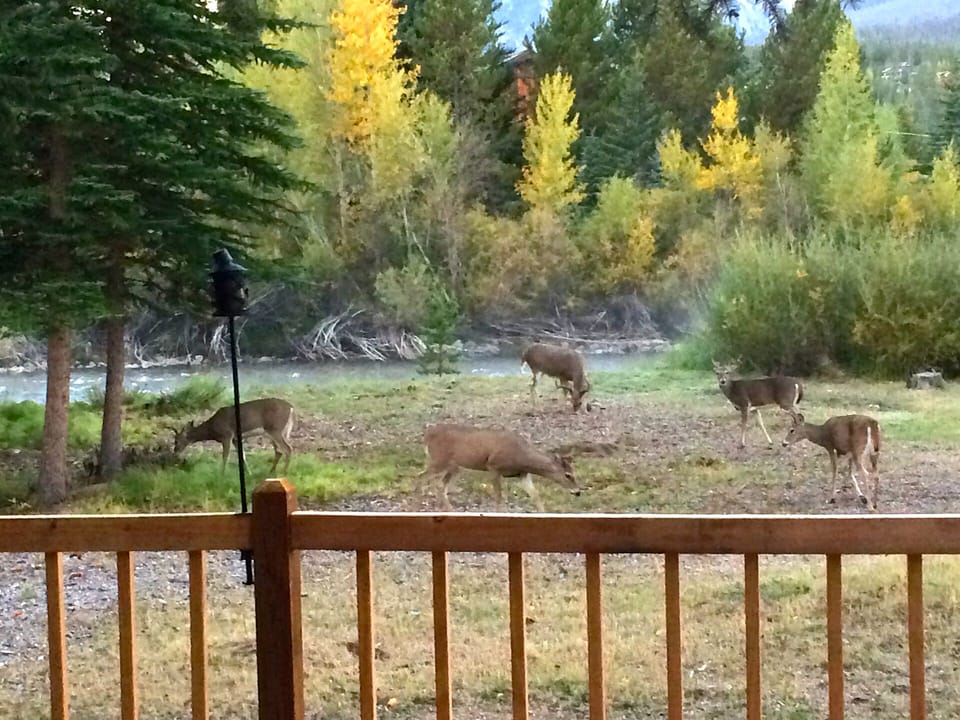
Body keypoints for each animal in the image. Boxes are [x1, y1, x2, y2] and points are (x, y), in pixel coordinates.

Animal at [416, 423, 581, 511]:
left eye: (574, 472)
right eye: (568, 475)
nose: (578, 492)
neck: (521, 457)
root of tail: (427, 435)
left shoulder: (523, 474)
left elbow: (536, 495)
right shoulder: (493, 466)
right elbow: (499, 497)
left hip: (454, 467)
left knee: (439, 483)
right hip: (439, 460)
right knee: (421, 476)